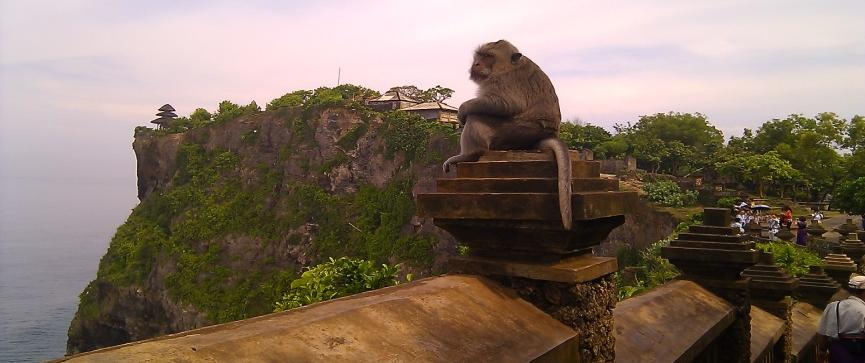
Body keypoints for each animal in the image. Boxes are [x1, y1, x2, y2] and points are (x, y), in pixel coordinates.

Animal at [442, 39, 572, 230]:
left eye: (488, 56)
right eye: (479, 56)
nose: (476, 64)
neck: (507, 66)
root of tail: (543, 136)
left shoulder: (503, 80)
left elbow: (506, 104)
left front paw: (462, 110)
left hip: (513, 133)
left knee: (478, 117)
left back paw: (468, 154)